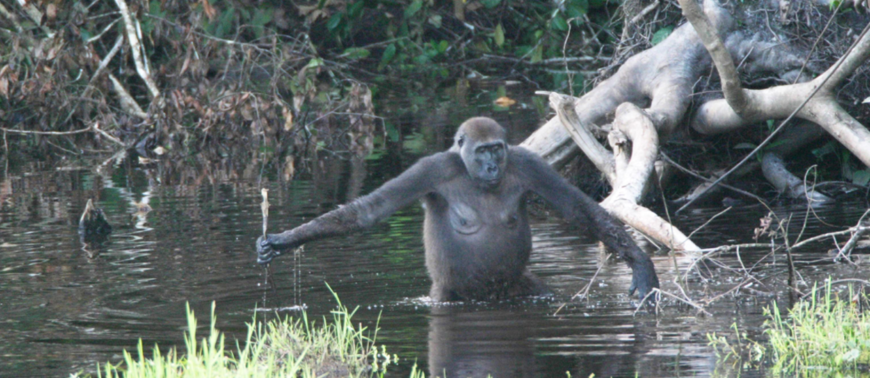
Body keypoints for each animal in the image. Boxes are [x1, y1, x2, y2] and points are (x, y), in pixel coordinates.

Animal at [258, 117, 660, 302]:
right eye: (482, 151)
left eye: (497, 148)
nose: (493, 166)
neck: (472, 172)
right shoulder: (430, 169)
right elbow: (368, 211)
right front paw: (285, 240)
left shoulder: (528, 163)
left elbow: (579, 210)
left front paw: (642, 266)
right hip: (446, 296)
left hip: (518, 289)